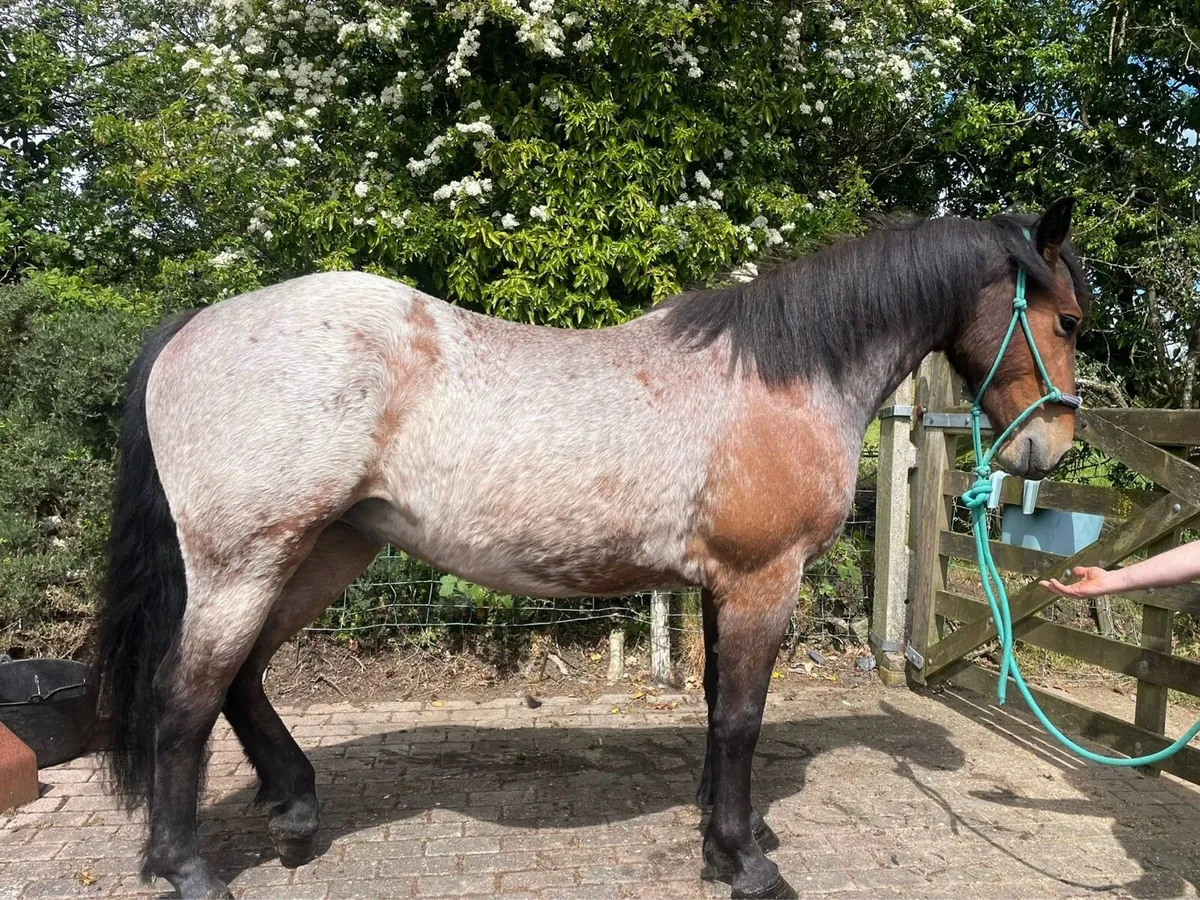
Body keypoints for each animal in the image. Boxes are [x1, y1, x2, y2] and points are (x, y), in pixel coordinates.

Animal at [89, 198, 1088, 899]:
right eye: (1070, 321)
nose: (1051, 449)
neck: (783, 376)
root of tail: (191, 329)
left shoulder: (722, 585)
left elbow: (718, 706)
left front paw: (724, 833)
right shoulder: (762, 581)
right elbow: (741, 717)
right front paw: (744, 861)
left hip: (327, 551)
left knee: (245, 678)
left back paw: (294, 812)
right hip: (247, 562)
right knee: (184, 699)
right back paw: (187, 868)